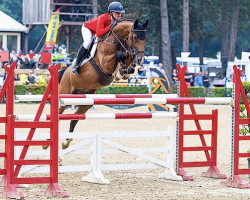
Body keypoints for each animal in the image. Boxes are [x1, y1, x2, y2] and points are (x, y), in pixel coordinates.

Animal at [57, 19, 147, 150]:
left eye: (145, 38)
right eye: (135, 37)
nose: (141, 59)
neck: (116, 39)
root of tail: (64, 71)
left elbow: (127, 57)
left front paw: (124, 72)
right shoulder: (105, 62)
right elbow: (120, 55)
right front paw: (122, 70)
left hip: (86, 102)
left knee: (74, 119)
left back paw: (66, 143)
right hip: (66, 95)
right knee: (59, 114)